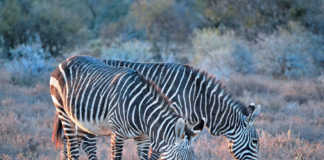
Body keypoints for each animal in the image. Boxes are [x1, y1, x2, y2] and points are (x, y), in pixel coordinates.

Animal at [49, 55, 201, 159]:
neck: (141, 111)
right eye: (183, 159)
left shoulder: (143, 139)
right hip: (64, 114)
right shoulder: (117, 135)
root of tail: (67, 60)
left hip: (81, 121)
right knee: (73, 148)